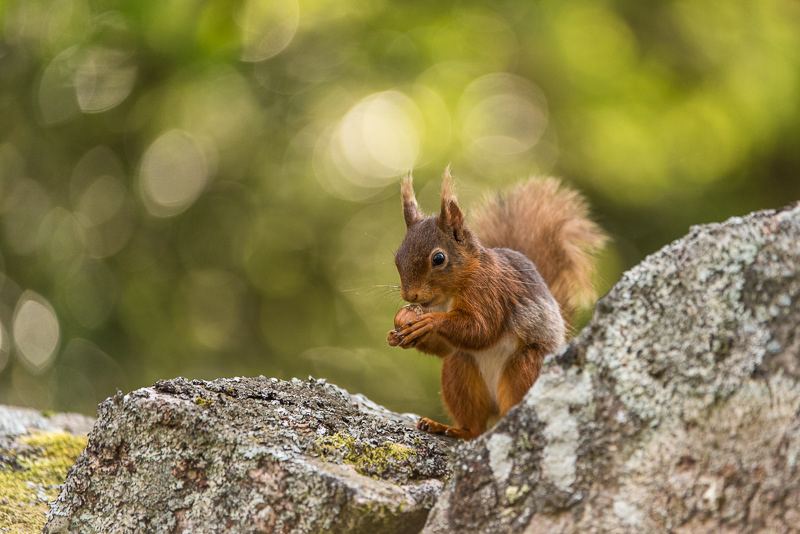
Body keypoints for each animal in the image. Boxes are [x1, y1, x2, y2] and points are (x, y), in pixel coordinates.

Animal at [387, 167, 606, 439]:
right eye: (397, 258)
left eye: (438, 258)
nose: (410, 296)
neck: (448, 295)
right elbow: (445, 346)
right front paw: (397, 335)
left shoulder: (491, 293)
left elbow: (483, 329)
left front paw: (429, 322)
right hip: (460, 369)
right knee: (474, 426)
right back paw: (451, 429)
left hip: (526, 367)